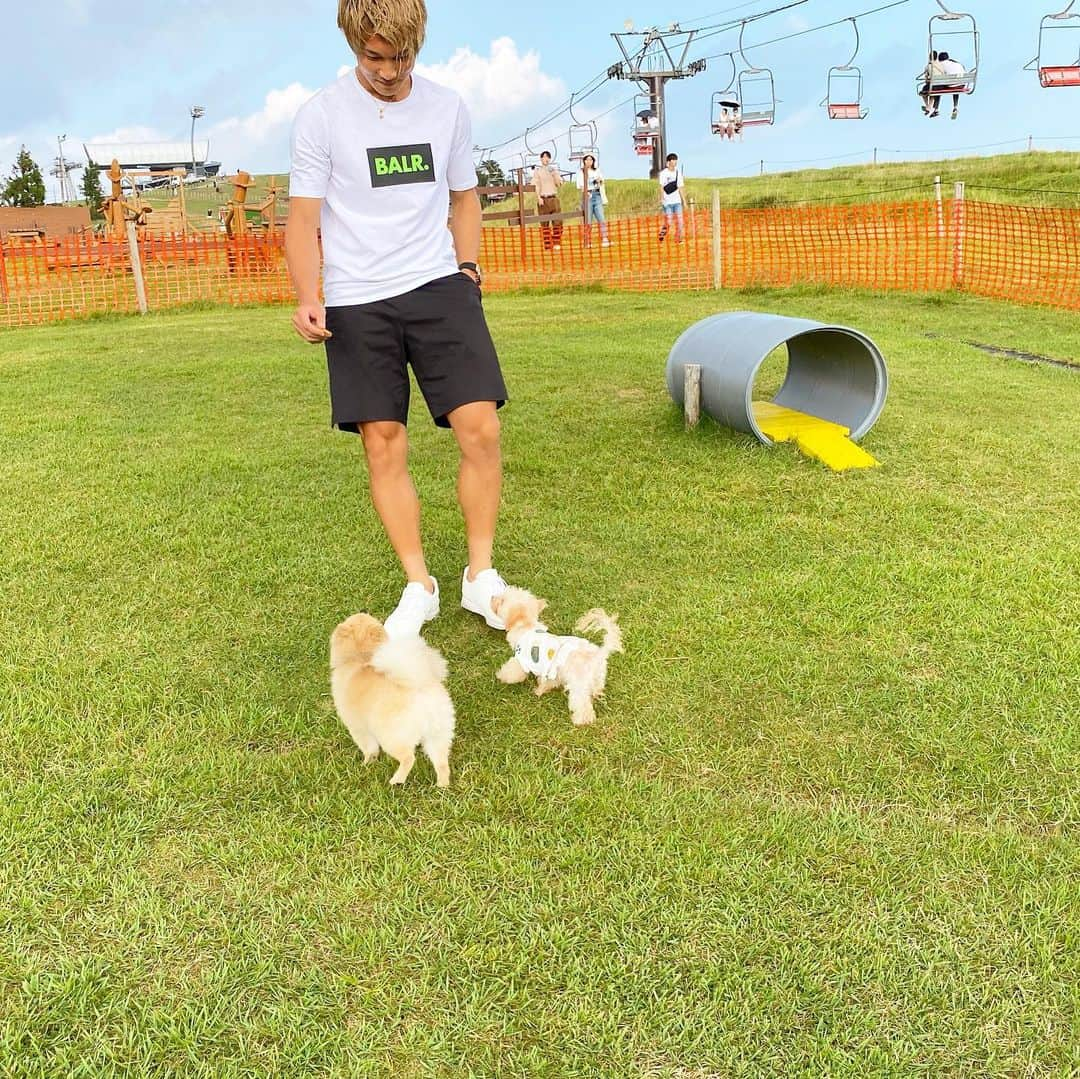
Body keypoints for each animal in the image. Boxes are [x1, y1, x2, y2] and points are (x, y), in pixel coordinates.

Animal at [324, 617, 451, 786]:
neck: (360, 659)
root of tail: (419, 686)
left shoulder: (358, 727)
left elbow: (369, 747)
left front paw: (367, 762)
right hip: (438, 733)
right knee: (442, 763)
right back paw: (441, 785)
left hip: (391, 735)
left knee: (408, 758)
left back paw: (396, 780)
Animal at [492, 587, 626, 730]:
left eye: (502, 599)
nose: (492, 597)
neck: (526, 626)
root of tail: (600, 653)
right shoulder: (551, 670)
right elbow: (547, 682)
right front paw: (540, 690)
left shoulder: (522, 660)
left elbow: (512, 672)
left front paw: (500, 675)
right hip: (598, 676)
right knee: (596, 688)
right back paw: (596, 694)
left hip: (578, 684)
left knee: (583, 705)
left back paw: (581, 721)